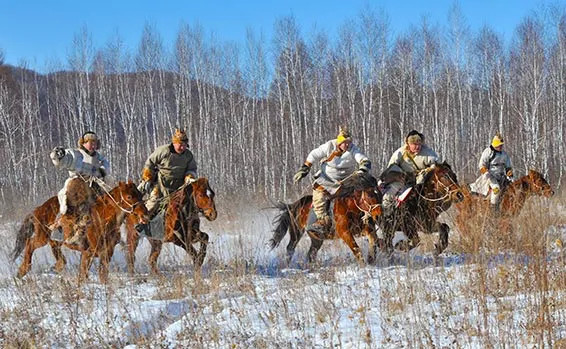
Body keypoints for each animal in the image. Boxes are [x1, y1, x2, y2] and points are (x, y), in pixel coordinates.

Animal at [12, 179, 149, 282]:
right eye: (129, 196)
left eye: (140, 194)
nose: (145, 215)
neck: (101, 219)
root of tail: (39, 209)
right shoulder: (89, 252)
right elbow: (84, 273)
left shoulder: (105, 253)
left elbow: (101, 274)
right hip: (42, 237)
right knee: (30, 244)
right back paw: (22, 270)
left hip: (54, 241)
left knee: (57, 253)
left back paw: (55, 267)